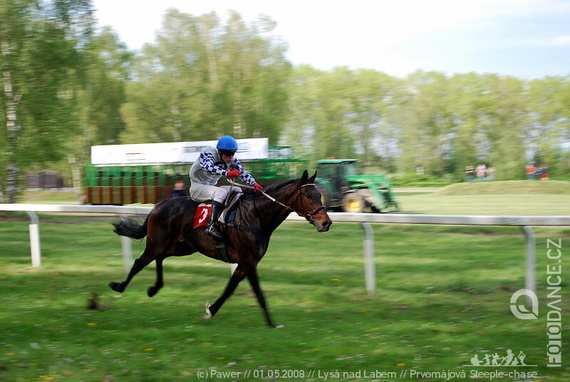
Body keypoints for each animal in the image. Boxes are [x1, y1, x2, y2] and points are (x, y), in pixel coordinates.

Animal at [108, 169, 330, 326]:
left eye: (318, 194)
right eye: (308, 195)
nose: (326, 222)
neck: (256, 215)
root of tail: (157, 206)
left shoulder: (247, 263)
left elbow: (238, 289)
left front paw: (270, 323)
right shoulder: (248, 260)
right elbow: (248, 290)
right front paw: (211, 310)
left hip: (182, 246)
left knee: (160, 258)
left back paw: (154, 288)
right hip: (157, 243)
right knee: (139, 262)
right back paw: (119, 286)